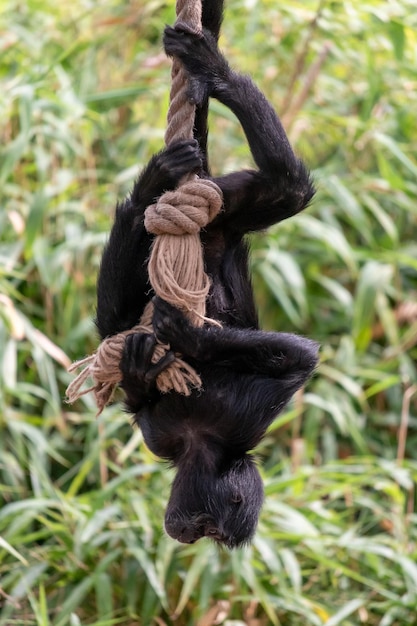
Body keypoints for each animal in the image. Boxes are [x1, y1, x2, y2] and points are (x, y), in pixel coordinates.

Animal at [96, 8, 316, 544]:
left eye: (205, 532)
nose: (184, 533)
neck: (202, 439)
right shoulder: (241, 416)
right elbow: (303, 356)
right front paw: (187, 336)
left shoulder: (163, 434)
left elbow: (137, 391)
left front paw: (160, 355)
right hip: (231, 200)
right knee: (290, 188)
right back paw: (214, 72)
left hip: (224, 202)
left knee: (115, 317)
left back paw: (151, 187)